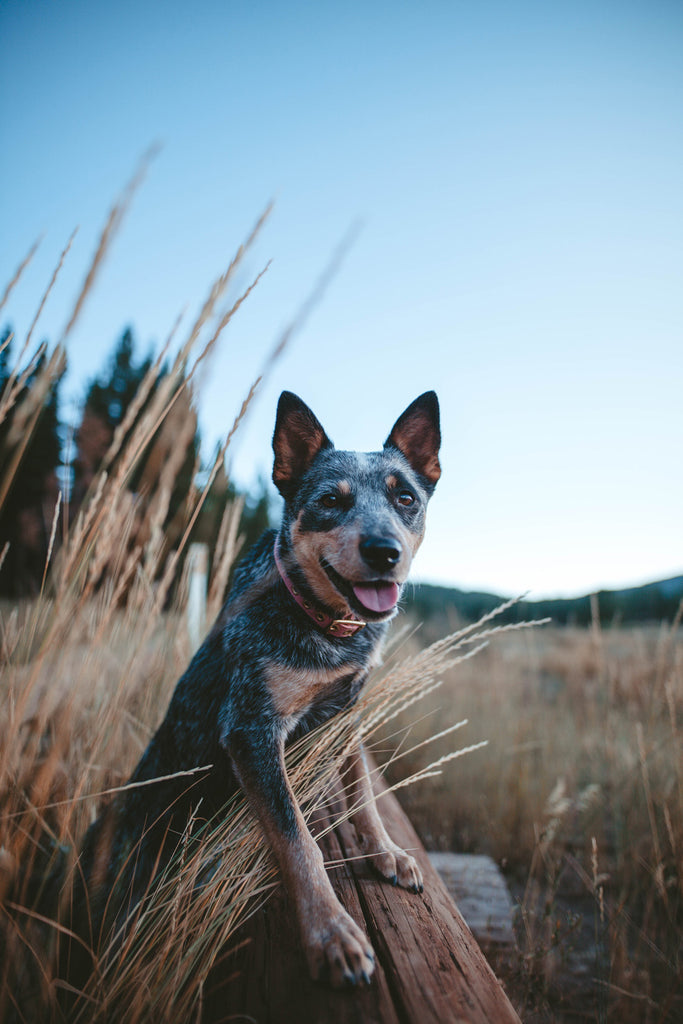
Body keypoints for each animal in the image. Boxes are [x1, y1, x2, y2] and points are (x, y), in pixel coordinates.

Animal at [65, 385, 444, 991]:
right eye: (330, 501)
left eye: (405, 497)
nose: (385, 550)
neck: (323, 625)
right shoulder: (252, 730)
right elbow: (297, 840)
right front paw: (330, 934)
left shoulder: (347, 711)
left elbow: (363, 794)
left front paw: (384, 851)